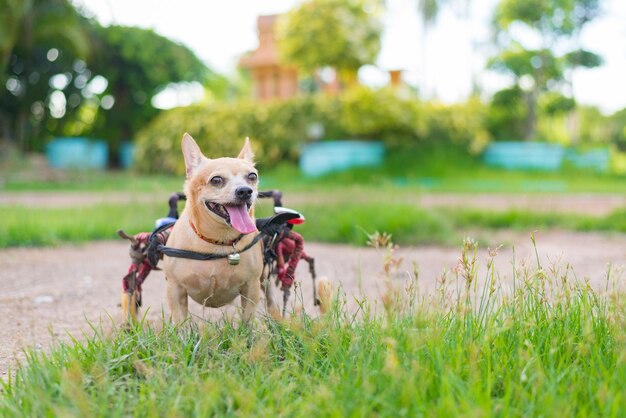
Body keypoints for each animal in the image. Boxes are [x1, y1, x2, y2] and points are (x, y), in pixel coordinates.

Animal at [161, 132, 280, 322]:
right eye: (216, 180)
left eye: (252, 176)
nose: (245, 190)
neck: (218, 240)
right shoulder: (175, 289)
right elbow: (181, 321)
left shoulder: (251, 288)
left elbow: (247, 320)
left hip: (265, 279)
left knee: (271, 300)